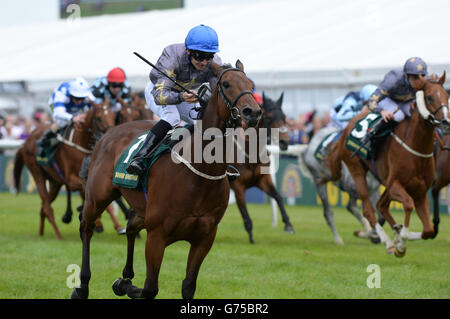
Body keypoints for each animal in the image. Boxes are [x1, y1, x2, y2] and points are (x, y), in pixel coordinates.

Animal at [14, 101, 116, 239]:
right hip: (36, 173)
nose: (111, 133)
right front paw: (96, 221)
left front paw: (116, 226)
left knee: (43, 207)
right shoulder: (71, 180)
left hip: (55, 182)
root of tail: (25, 142)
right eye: (99, 118)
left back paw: (41, 234)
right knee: (47, 207)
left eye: (113, 115)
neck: (80, 145)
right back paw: (59, 236)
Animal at [71, 60, 262, 300]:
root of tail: (108, 132)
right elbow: (150, 288)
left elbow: (188, 286)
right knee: (86, 227)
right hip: (98, 196)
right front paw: (126, 286)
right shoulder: (157, 236)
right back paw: (82, 286)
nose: (253, 111)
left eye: (251, 85)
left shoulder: (205, 237)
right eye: (226, 84)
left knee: (131, 227)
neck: (199, 173)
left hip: (142, 208)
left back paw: (126, 277)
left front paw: (126, 284)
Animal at [230, 93, 294, 245]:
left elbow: (278, 196)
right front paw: (251, 238)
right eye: (269, 117)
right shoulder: (238, 186)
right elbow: (245, 214)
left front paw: (288, 224)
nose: (285, 141)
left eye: (284, 117)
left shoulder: (262, 180)